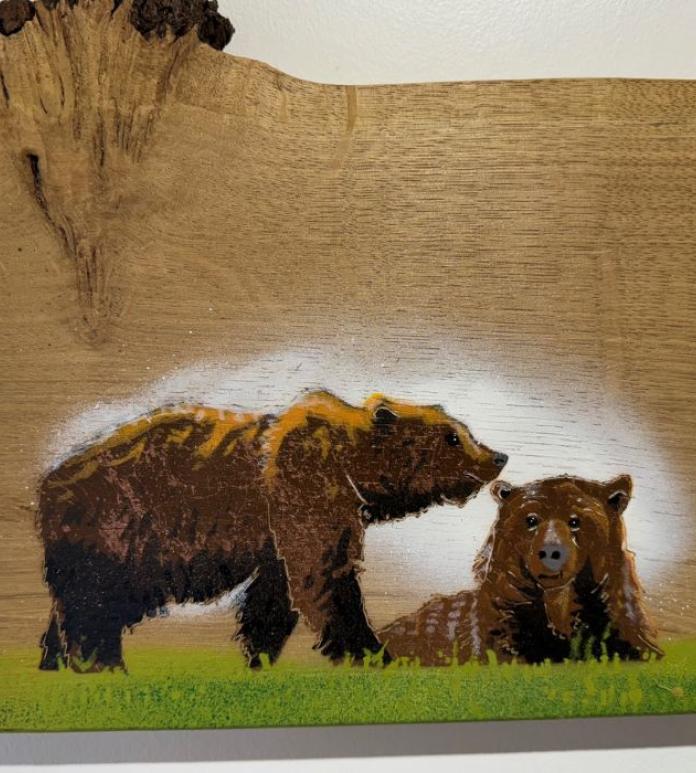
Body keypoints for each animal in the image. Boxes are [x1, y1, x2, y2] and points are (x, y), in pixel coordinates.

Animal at [37, 389, 508, 672]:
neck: (349, 463)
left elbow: (274, 596)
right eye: (453, 436)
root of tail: (47, 483)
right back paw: (102, 665)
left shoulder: (280, 534)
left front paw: (258, 656)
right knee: (94, 606)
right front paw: (375, 654)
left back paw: (55, 662)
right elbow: (326, 580)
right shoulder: (304, 492)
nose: (498, 455)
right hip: (117, 530)